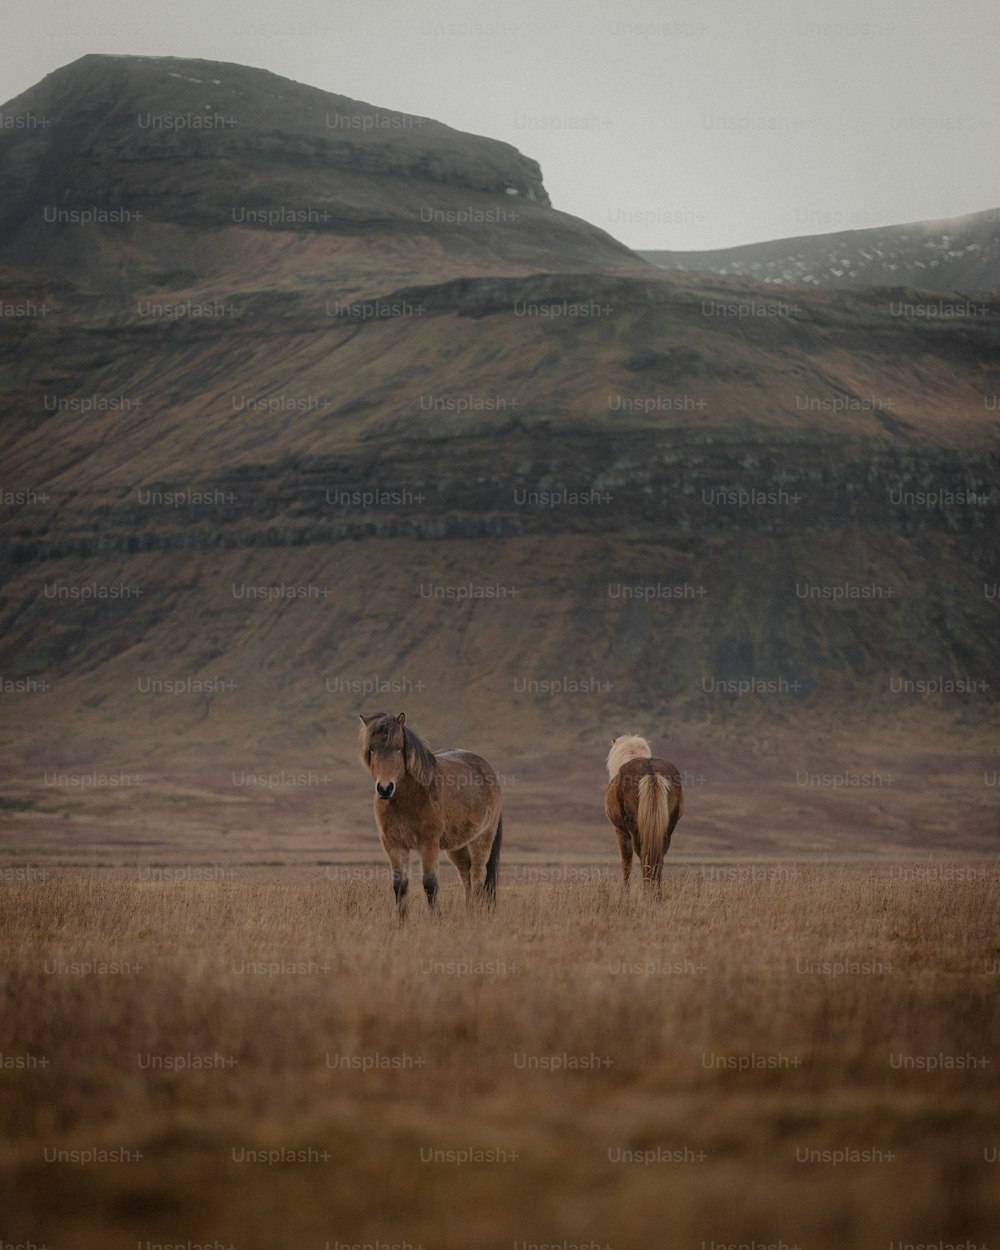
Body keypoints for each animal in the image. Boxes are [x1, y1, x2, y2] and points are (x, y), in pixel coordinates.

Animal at [360, 715, 505, 920]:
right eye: (372, 748)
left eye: (398, 747)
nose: (385, 788)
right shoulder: (393, 844)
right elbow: (399, 885)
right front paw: (401, 921)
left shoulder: (428, 843)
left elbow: (430, 884)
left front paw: (436, 919)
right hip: (457, 848)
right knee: (466, 875)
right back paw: (468, 911)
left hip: (482, 839)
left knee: (478, 876)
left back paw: (474, 914)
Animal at [605, 730, 685, 895]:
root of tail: (651, 771)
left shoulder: (620, 831)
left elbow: (626, 862)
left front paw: (626, 894)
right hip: (667, 829)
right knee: (658, 857)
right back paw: (657, 893)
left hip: (635, 830)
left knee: (643, 856)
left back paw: (647, 892)